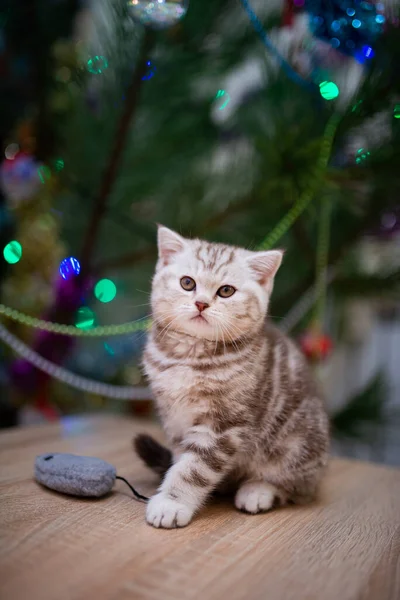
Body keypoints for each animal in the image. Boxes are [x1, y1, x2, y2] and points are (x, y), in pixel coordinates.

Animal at [136, 226, 330, 528]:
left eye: (226, 291)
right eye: (187, 283)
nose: (201, 303)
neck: (189, 356)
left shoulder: (223, 425)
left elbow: (194, 468)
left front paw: (171, 502)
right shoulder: (175, 418)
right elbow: (181, 459)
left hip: (297, 442)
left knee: (298, 487)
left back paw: (258, 490)